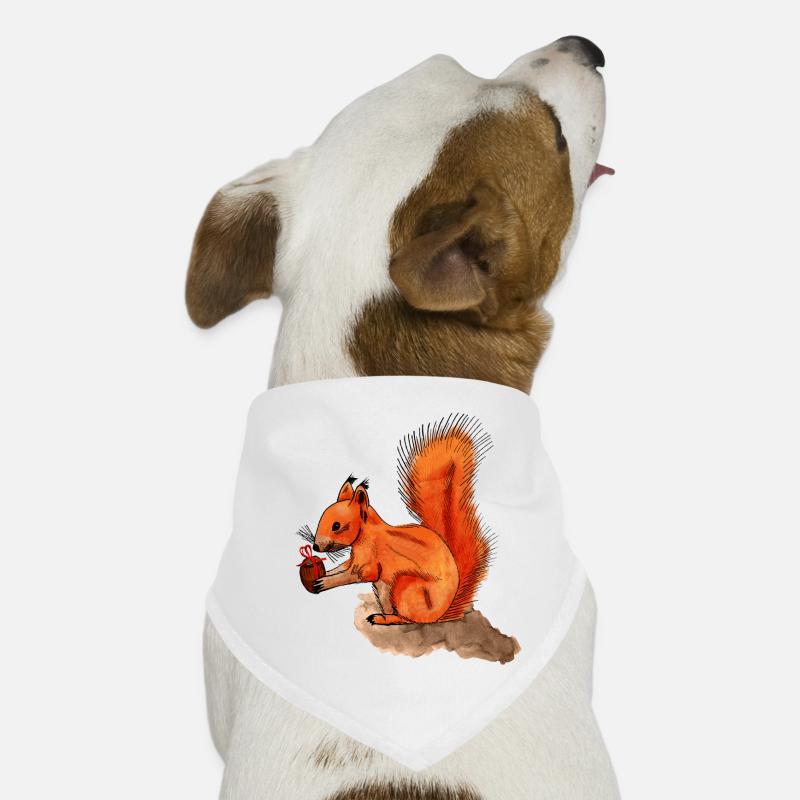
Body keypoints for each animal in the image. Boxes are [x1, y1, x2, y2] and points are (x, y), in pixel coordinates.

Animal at [311, 414, 493, 626]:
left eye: (337, 525)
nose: (315, 546)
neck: (367, 535)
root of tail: (440, 615)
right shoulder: (355, 559)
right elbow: (342, 567)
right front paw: (325, 573)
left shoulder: (369, 563)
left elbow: (355, 575)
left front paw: (324, 582)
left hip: (404, 586)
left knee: (408, 619)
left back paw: (383, 619)